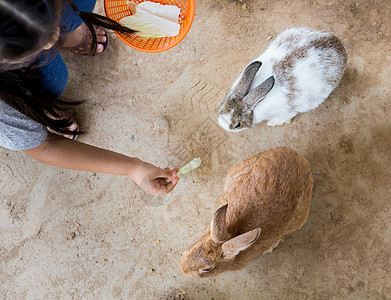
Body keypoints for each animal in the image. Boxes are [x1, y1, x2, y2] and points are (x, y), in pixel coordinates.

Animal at [217, 27, 350, 131]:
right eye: (221, 108)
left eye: (237, 125)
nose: (222, 124)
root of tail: (339, 46)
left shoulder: (288, 110)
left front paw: (273, 123)